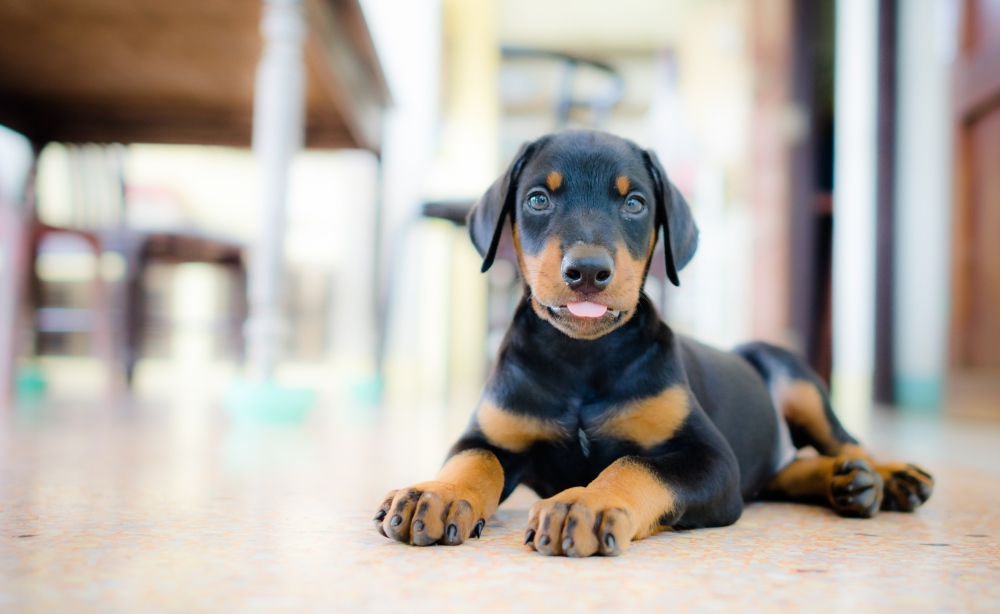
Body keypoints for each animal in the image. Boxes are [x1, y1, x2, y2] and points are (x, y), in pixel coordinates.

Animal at [372, 130, 932, 560]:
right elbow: (473, 460)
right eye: (537, 199)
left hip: (794, 378)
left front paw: (587, 505)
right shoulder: (495, 431)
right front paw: (436, 494)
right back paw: (844, 482)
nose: (588, 271)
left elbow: (634, 465)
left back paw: (885, 476)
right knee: (782, 472)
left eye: (635, 203)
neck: (582, 359)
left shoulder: (711, 458)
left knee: (846, 439)